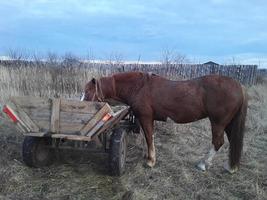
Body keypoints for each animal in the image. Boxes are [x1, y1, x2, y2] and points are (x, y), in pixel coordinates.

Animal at [84, 72, 249, 173]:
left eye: (87, 91)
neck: (139, 87)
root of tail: (239, 86)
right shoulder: (144, 119)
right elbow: (145, 138)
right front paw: (147, 155)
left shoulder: (146, 118)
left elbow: (149, 137)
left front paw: (150, 161)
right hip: (229, 124)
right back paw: (230, 167)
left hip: (218, 123)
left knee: (218, 142)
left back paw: (203, 164)